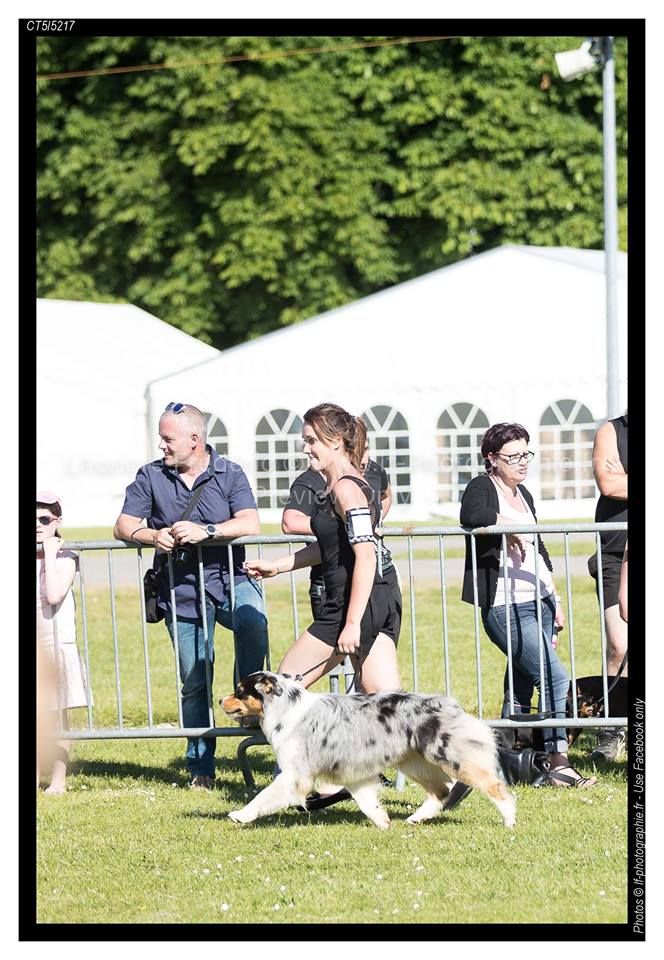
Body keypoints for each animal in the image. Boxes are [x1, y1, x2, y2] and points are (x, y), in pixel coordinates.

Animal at [220, 672, 516, 828]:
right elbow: (367, 801)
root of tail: (450, 705)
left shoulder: (295, 774)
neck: (284, 708)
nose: (220, 699)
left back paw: (509, 821)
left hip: (448, 755)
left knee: (494, 786)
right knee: (440, 792)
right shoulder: (353, 772)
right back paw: (415, 819)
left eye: (240, 691)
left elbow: (264, 796)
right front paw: (383, 823)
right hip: (414, 762)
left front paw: (240, 815)